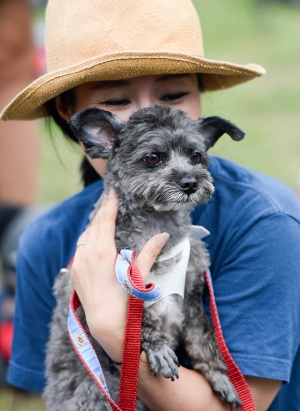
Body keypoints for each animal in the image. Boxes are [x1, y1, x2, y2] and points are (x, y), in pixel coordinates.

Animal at [44, 105, 245, 411]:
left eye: (195, 156)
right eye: (153, 158)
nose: (190, 182)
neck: (156, 227)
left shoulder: (192, 294)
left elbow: (203, 338)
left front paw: (219, 375)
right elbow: (139, 317)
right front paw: (158, 347)